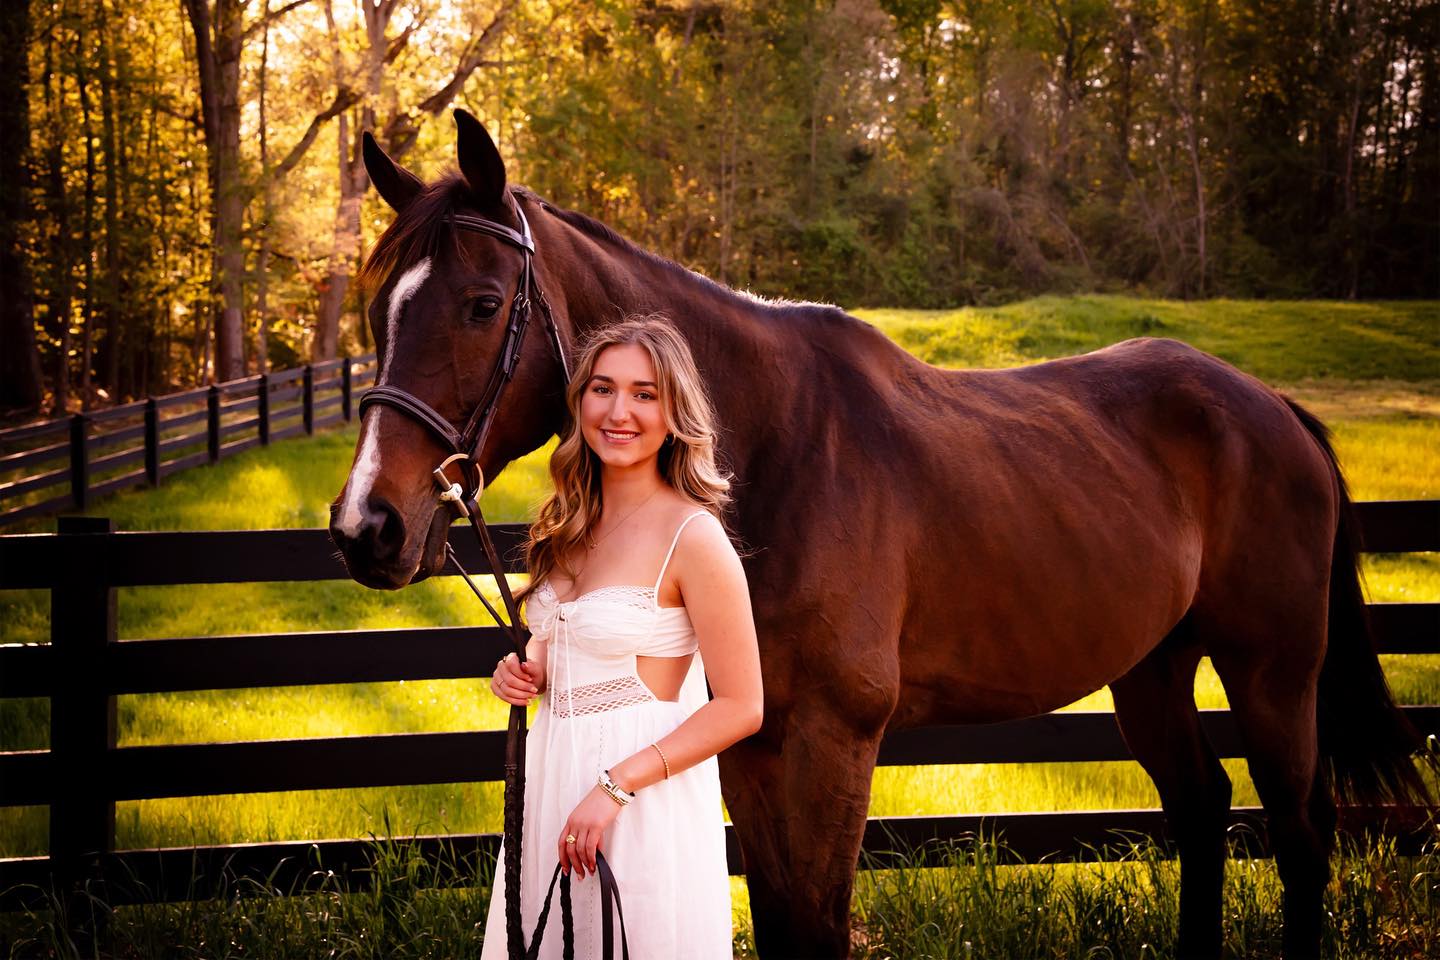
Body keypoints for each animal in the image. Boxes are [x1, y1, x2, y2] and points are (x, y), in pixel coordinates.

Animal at [329, 110, 1426, 959]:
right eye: (380, 311)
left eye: (481, 305)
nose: (366, 527)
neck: (772, 452)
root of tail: (1270, 409)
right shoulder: (751, 739)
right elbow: (784, 926)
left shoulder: (832, 742)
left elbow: (818, 928)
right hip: (1152, 669)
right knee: (1201, 813)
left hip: (1273, 674)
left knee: (1299, 836)